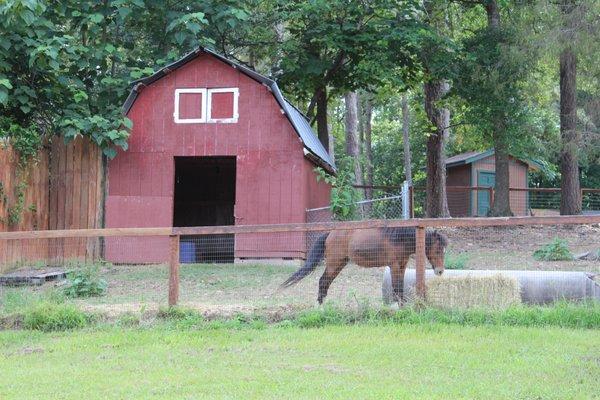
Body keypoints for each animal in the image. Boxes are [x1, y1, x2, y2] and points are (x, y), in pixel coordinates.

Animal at [280, 228, 446, 304]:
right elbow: (396, 287)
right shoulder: (393, 266)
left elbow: (400, 287)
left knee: (325, 283)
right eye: (438, 250)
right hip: (334, 264)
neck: (399, 238)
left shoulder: (402, 266)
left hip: (339, 264)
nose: (440, 271)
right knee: (322, 282)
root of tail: (330, 234)